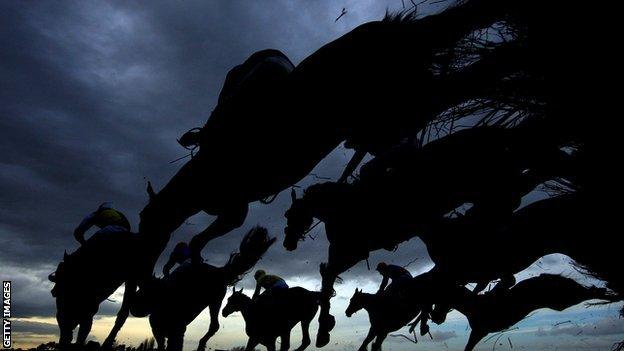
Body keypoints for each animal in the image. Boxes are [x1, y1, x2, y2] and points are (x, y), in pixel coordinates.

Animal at [132, 228, 276, 351]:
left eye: (148, 292)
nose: (135, 308)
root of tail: (220, 271)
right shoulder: (162, 333)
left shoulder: (175, 334)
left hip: (212, 297)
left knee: (214, 325)